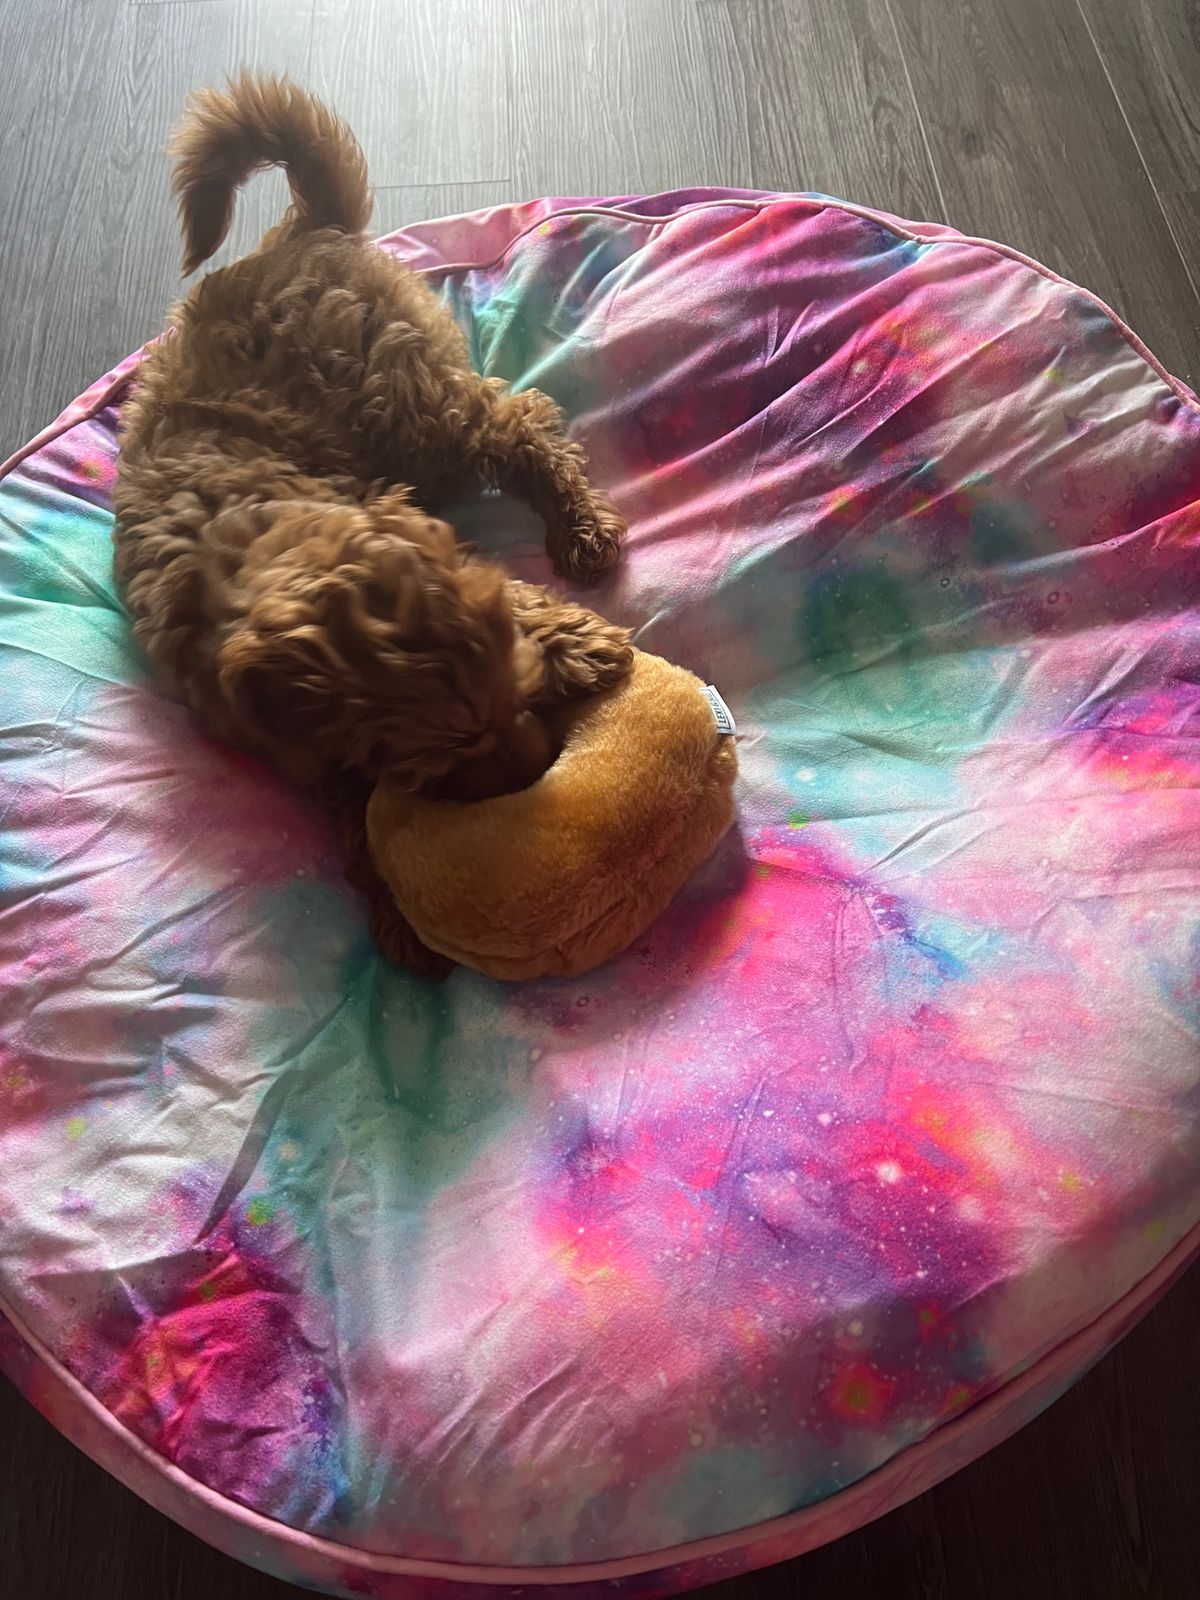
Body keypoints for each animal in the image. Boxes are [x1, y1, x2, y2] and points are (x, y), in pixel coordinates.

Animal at [112, 73, 632, 973]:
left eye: (518, 693)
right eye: (438, 763)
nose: (540, 770)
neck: (256, 542)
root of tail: (302, 230)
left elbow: (509, 595)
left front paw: (580, 642)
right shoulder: (297, 741)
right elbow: (350, 803)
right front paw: (392, 905)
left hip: (402, 403)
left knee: (515, 421)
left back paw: (581, 528)